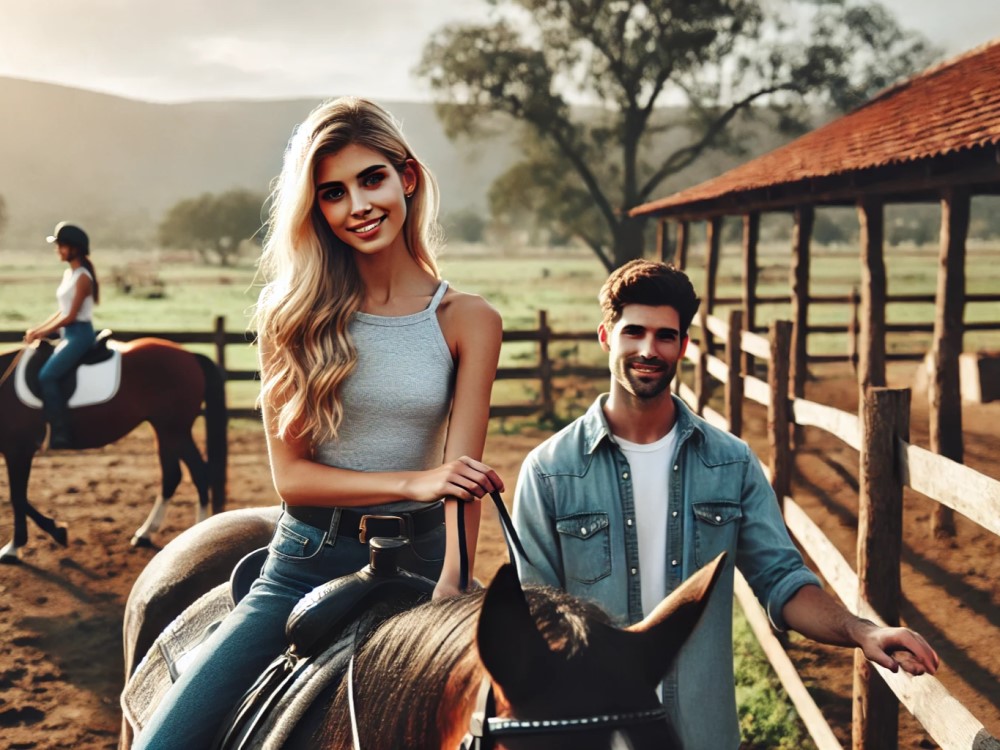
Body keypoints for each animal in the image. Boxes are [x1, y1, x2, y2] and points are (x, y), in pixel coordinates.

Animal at [0, 340, 227, 564]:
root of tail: (190, 355)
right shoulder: (16, 451)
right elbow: (19, 497)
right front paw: (55, 532)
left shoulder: (18, 450)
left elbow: (17, 497)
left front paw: (15, 547)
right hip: (166, 431)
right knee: (173, 476)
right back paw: (145, 535)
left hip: (175, 430)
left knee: (198, 474)